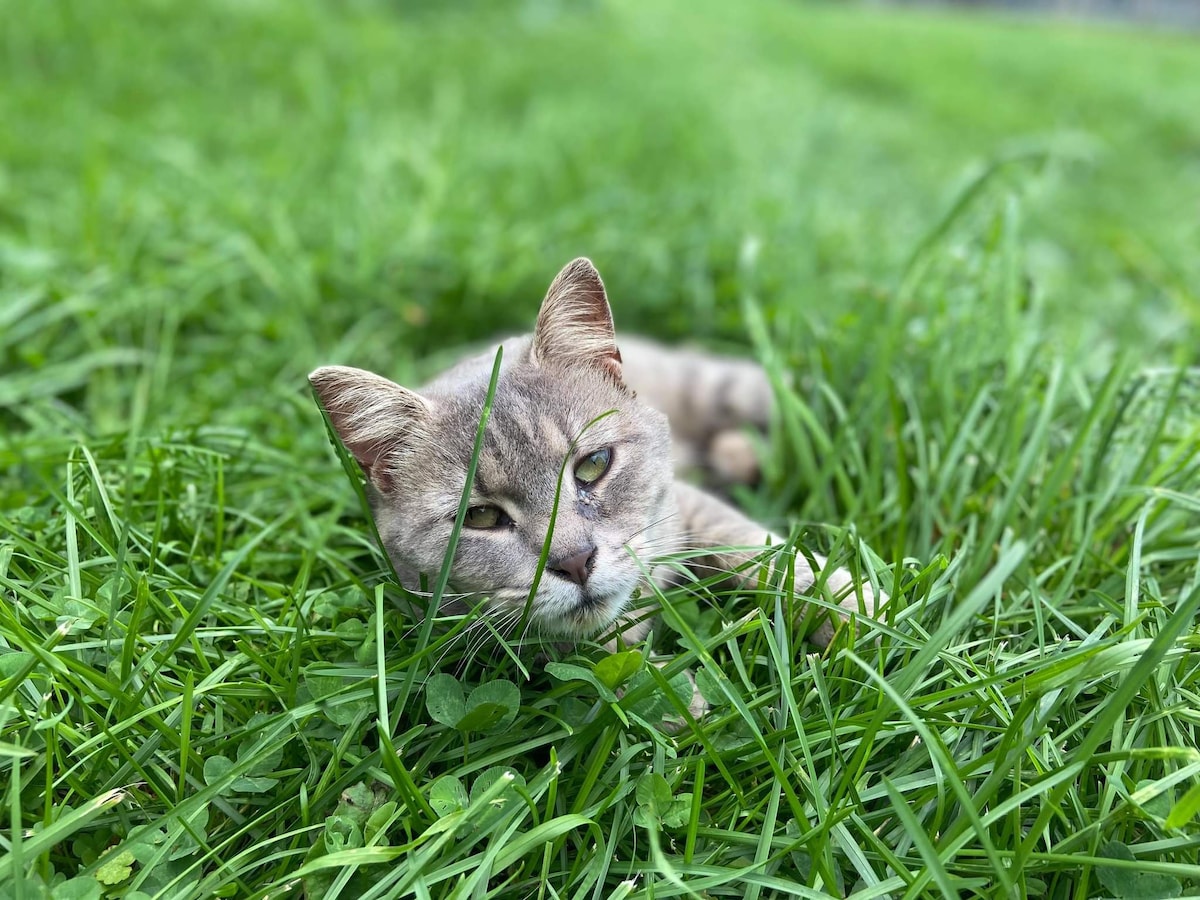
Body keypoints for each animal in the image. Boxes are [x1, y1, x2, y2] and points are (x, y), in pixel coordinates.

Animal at [309, 256, 883, 667]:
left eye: (593, 465)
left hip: (730, 388)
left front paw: (857, 608)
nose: (574, 562)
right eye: (481, 516)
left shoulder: (686, 506)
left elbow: (763, 553)